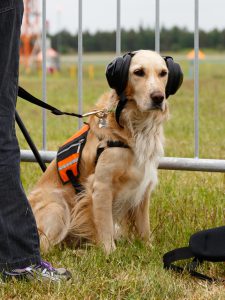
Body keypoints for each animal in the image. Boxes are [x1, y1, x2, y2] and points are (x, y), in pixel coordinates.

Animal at [28, 50, 183, 254]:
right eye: (138, 72)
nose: (158, 97)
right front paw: (110, 253)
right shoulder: (101, 186)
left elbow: (144, 226)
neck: (132, 127)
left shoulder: (143, 186)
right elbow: (105, 225)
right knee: (45, 248)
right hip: (57, 206)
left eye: (163, 73)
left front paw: (148, 248)